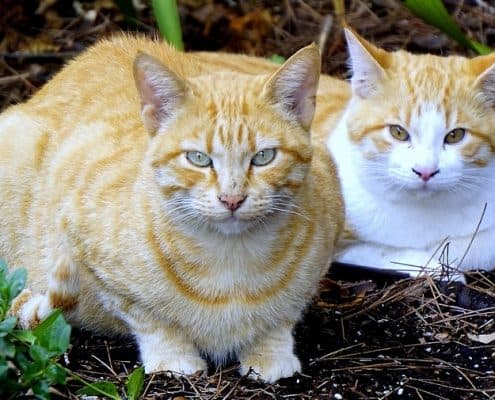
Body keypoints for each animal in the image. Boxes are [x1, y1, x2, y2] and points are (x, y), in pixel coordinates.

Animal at [0, 35, 344, 382]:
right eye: (198, 158)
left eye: (263, 157)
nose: (231, 199)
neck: (231, 257)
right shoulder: (85, 246)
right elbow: (148, 318)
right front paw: (173, 358)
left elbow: (285, 313)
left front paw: (271, 352)